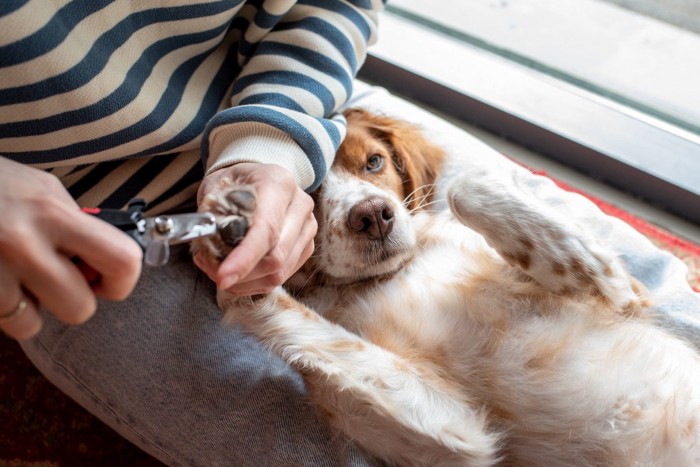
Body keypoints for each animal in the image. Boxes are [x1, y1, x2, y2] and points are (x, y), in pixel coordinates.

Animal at [194, 108, 700, 466]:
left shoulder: (625, 294)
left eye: (374, 162)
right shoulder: (460, 435)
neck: (385, 275)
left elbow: (464, 189)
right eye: (309, 193)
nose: (373, 215)